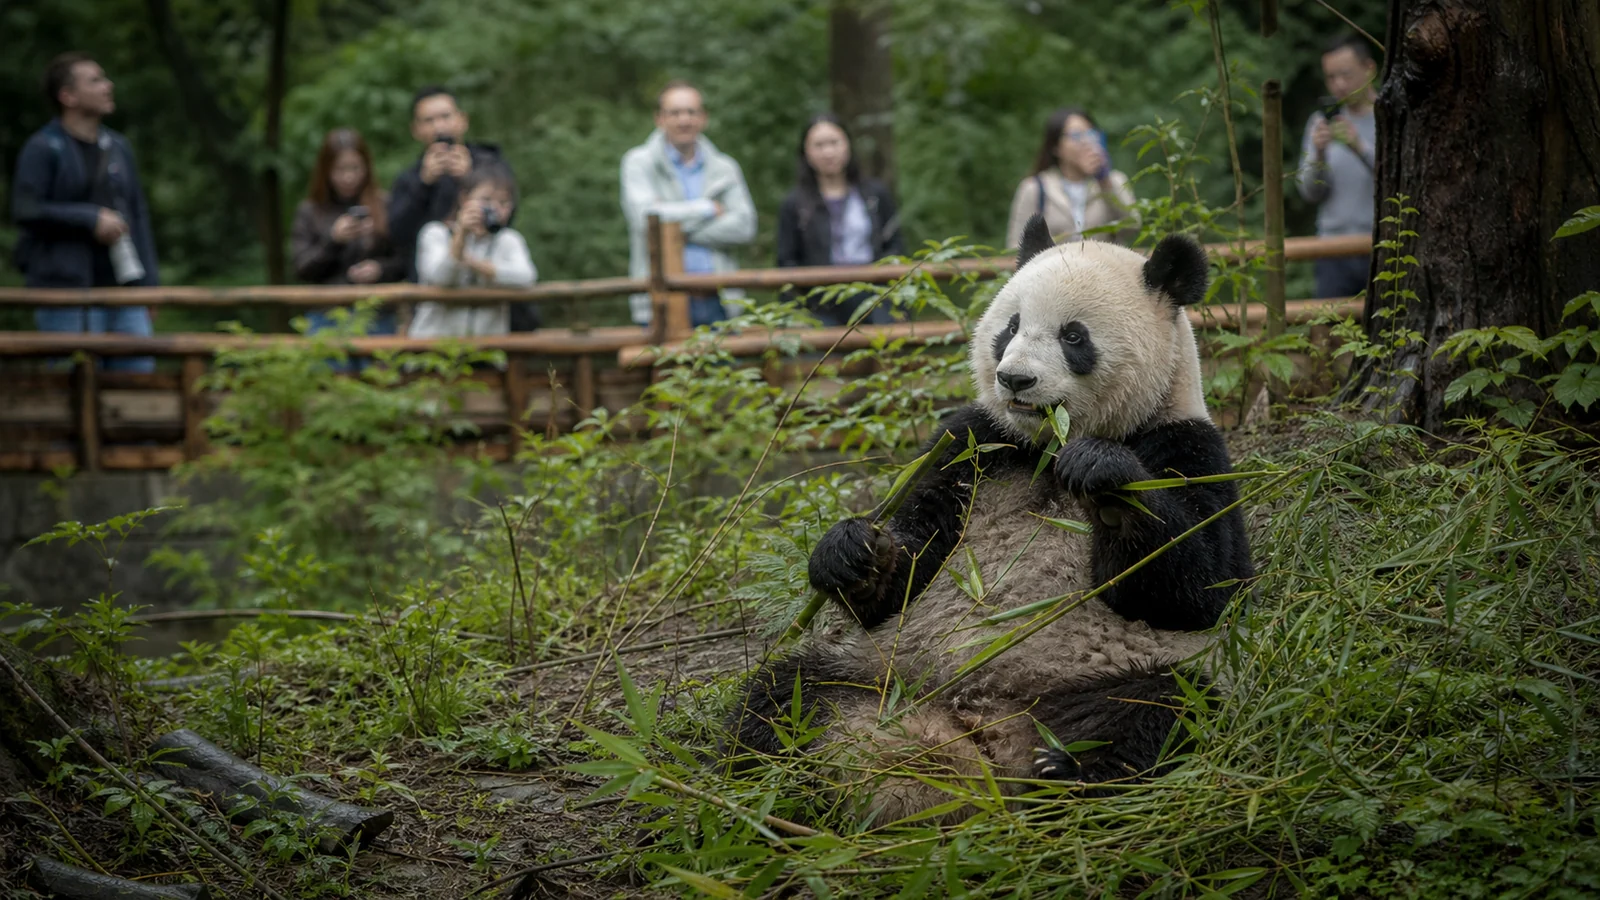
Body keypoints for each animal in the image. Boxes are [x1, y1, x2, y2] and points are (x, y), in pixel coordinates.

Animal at [725, 214, 1255, 826]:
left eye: (1074, 336)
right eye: (1011, 327)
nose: (1015, 380)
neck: (1046, 447)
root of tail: (984, 736)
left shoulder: (1188, 445)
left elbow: (1201, 587)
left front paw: (1103, 476)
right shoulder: (971, 444)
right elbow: (907, 571)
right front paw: (853, 552)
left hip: (1121, 673)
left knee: (1162, 710)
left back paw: (1065, 771)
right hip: (884, 671)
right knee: (787, 701)